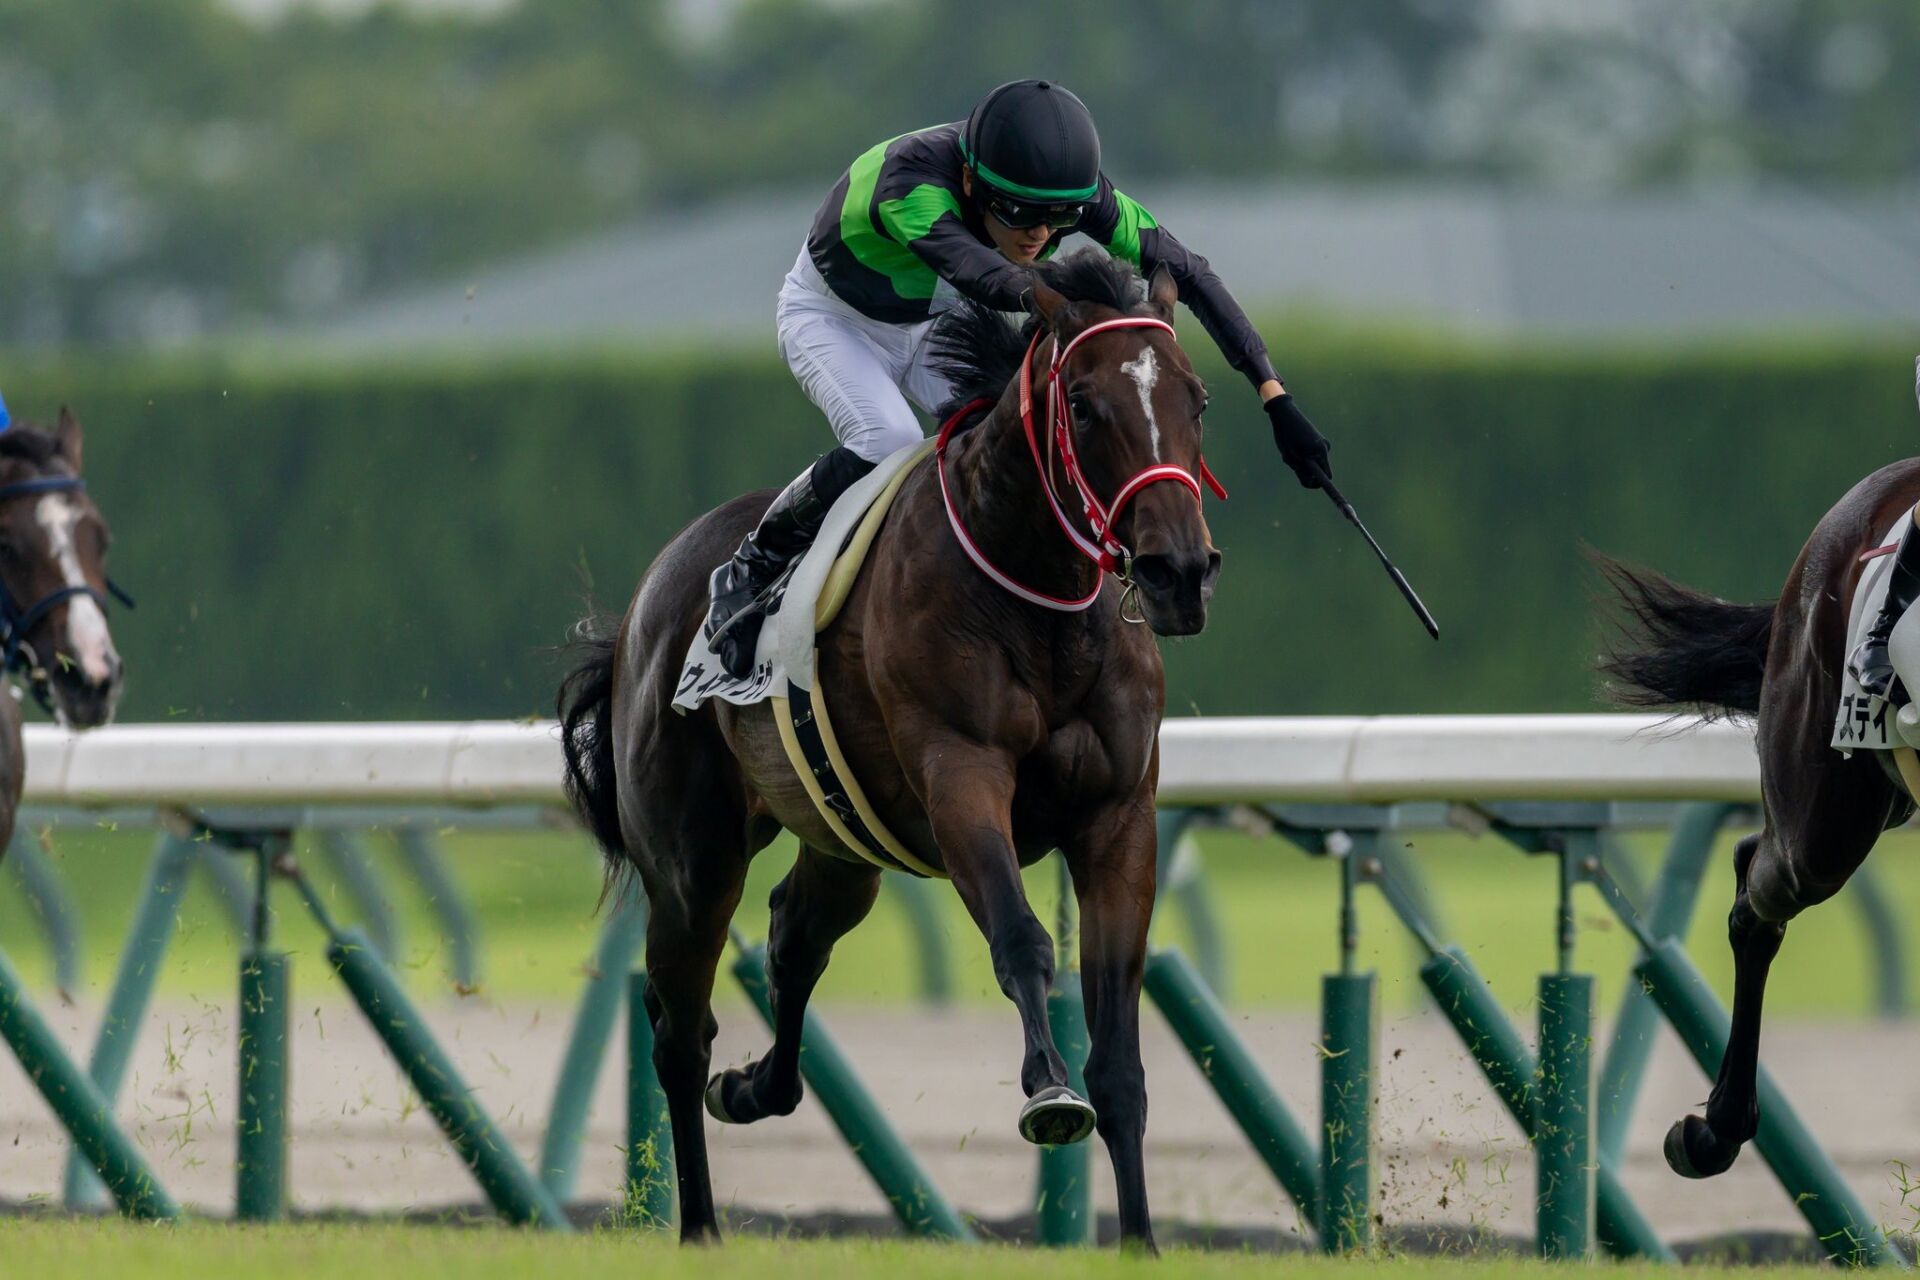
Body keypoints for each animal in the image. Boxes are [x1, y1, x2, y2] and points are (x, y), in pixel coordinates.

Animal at [559, 252, 1223, 1248]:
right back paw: (702, 1223)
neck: (1037, 594)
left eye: (1196, 397)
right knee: (680, 1026)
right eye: (1085, 404)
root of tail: (647, 599)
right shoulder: (961, 779)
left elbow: (1121, 1051)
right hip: (692, 859)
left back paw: (752, 1088)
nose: (1177, 571)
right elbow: (1021, 941)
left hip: (845, 840)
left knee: (794, 937)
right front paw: (1048, 1092)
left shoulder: (1118, 819)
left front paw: (1140, 1240)